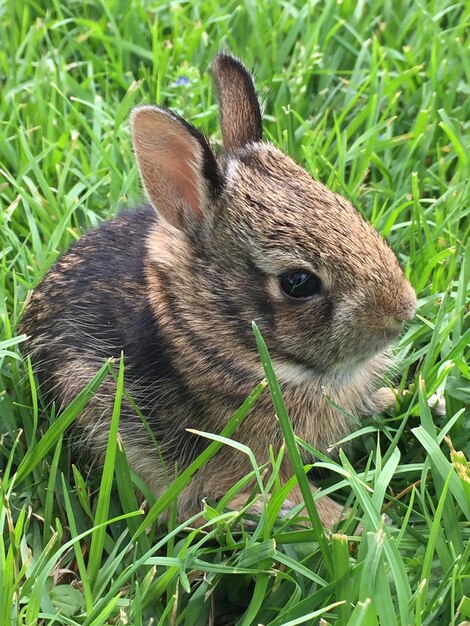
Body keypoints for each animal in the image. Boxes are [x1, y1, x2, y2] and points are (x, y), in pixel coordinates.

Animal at [20, 53, 416, 528]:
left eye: (350, 210)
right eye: (297, 283)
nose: (403, 311)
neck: (209, 335)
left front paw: (400, 399)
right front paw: (353, 522)